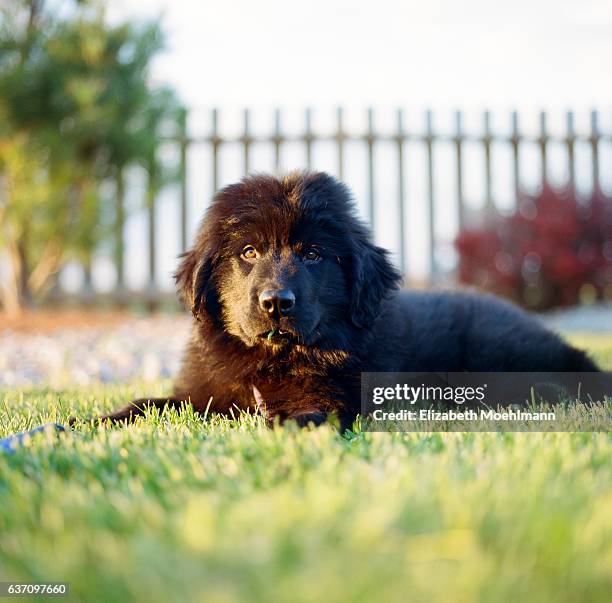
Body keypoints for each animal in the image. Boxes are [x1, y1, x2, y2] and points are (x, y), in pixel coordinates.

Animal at [99, 172, 596, 430]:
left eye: (314, 254)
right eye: (248, 252)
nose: (276, 302)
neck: (271, 362)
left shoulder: (333, 399)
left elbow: (301, 416)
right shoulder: (201, 393)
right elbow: (152, 404)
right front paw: (95, 422)